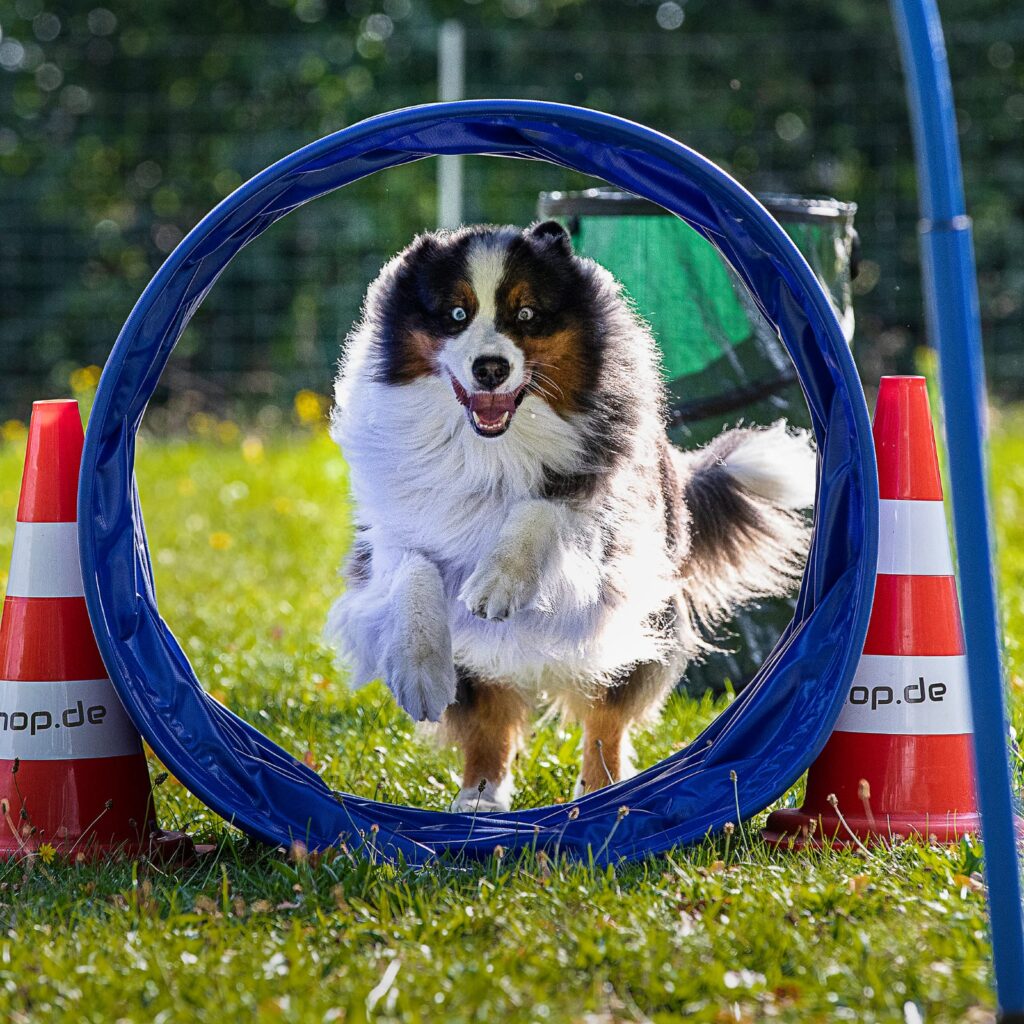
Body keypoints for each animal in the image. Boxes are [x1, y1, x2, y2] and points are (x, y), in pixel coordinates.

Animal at [327, 220, 815, 811]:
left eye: (527, 315)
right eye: (456, 314)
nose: (490, 368)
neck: (489, 448)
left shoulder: (605, 515)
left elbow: (542, 506)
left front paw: (498, 582)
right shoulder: (387, 533)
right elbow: (411, 571)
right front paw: (419, 672)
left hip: (635, 621)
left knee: (606, 717)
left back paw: (600, 794)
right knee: (489, 718)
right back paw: (480, 798)